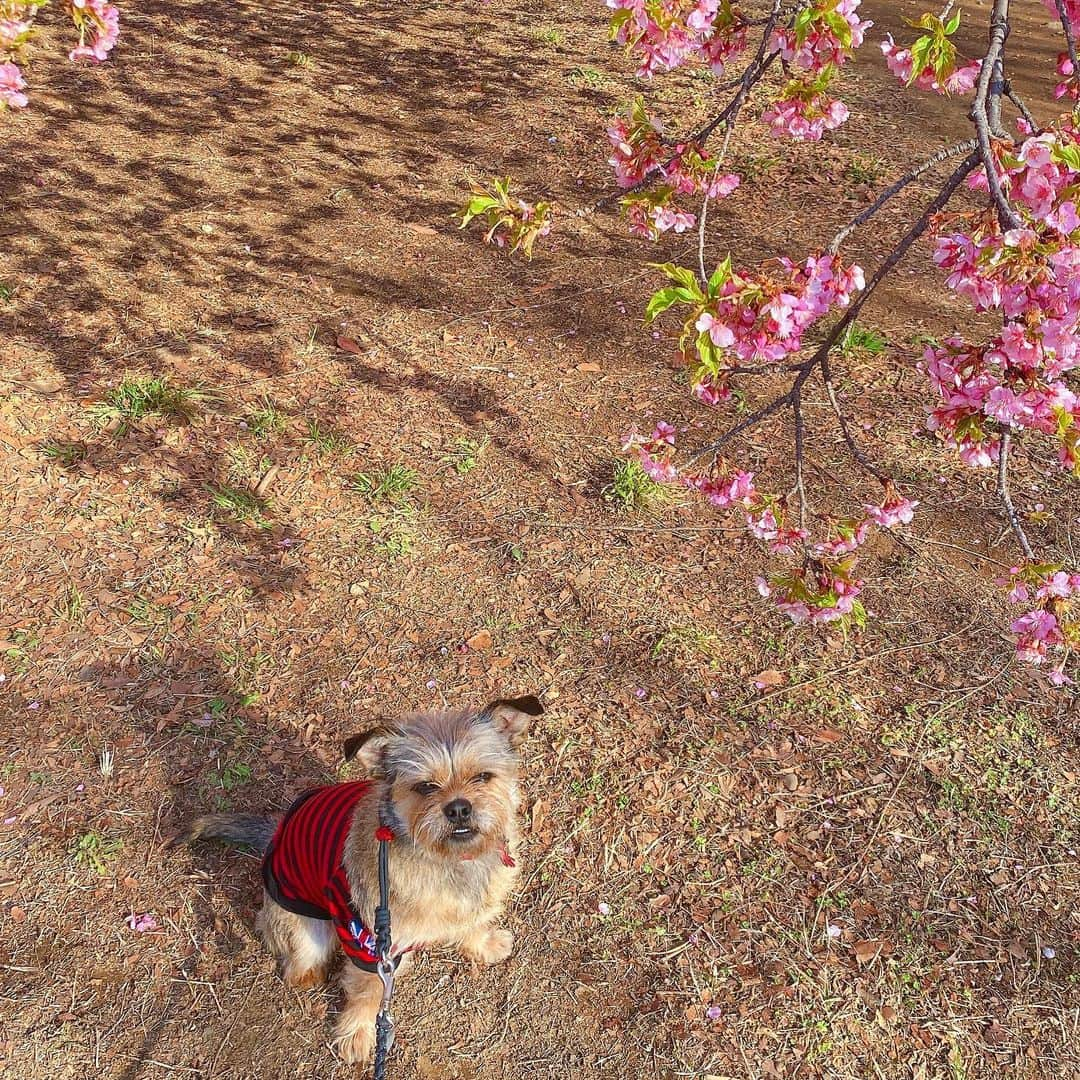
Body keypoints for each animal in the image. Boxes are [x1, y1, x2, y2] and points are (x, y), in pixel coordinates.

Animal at [182, 695, 548, 1067]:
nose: (458, 808)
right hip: (308, 933)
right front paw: (357, 1032)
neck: (446, 860)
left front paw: (483, 943)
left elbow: (471, 923)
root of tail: (275, 835)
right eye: (425, 787)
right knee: (298, 969)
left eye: (483, 776)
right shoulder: (368, 942)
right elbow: (367, 991)